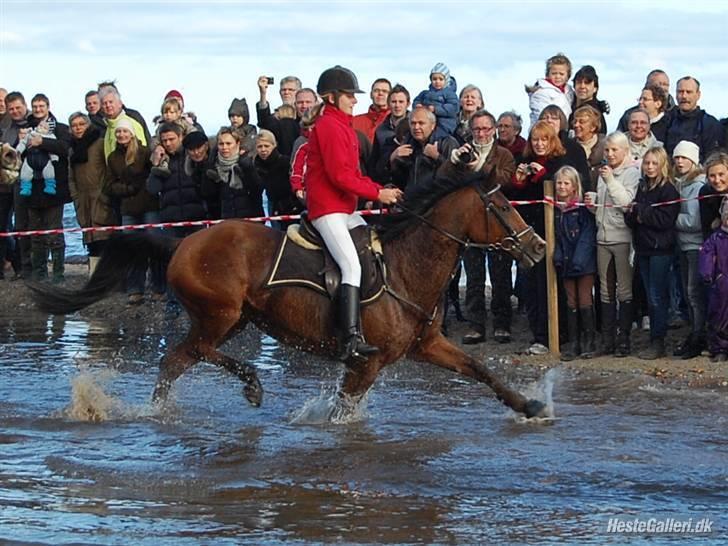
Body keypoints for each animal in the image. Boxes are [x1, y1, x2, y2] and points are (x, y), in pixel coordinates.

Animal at [31, 170, 548, 416]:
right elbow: (342, 411)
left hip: (232, 317)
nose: (539, 247)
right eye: (503, 207)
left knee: (176, 361)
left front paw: (529, 406)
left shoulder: (428, 345)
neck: (404, 268)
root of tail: (183, 242)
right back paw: (251, 384)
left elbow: (480, 370)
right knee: (193, 353)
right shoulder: (366, 363)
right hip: (220, 315)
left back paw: (157, 412)